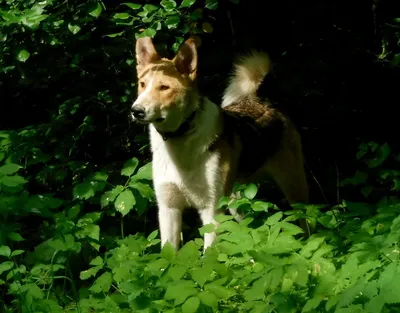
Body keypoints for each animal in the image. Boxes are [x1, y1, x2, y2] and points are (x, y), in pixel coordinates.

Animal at [131, 36, 310, 251]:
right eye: (142, 84)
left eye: (164, 87)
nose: (136, 111)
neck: (180, 139)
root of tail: (262, 99)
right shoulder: (168, 209)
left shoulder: (212, 211)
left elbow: (209, 256)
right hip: (236, 203)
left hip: (294, 188)